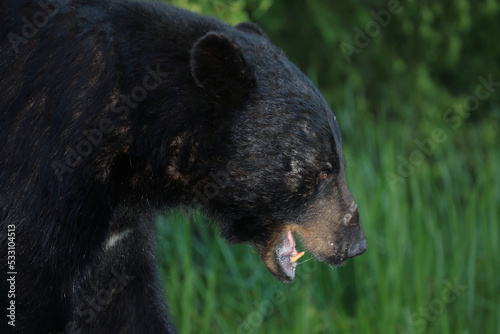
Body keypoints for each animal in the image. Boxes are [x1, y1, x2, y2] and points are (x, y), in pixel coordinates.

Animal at [0, 0, 368, 332]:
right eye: (323, 170)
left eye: (340, 163)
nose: (357, 245)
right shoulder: (47, 162)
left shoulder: (116, 232)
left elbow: (124, 304)